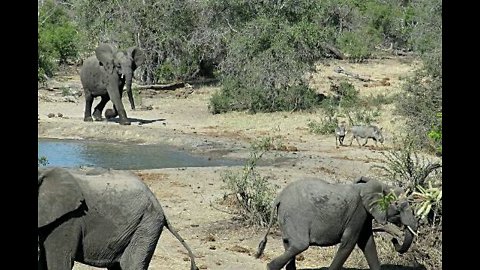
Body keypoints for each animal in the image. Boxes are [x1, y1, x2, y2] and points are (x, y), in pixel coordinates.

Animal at [255, 175, 416, 270]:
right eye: (398, 206)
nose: (395, 239)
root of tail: (279, 197)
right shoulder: (358, 212)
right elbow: (349, 242)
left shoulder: (364, 216)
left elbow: (367, 242)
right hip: (295, 216)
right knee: (300, 245)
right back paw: (270, 266)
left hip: (286, 217)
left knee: (289, 244)